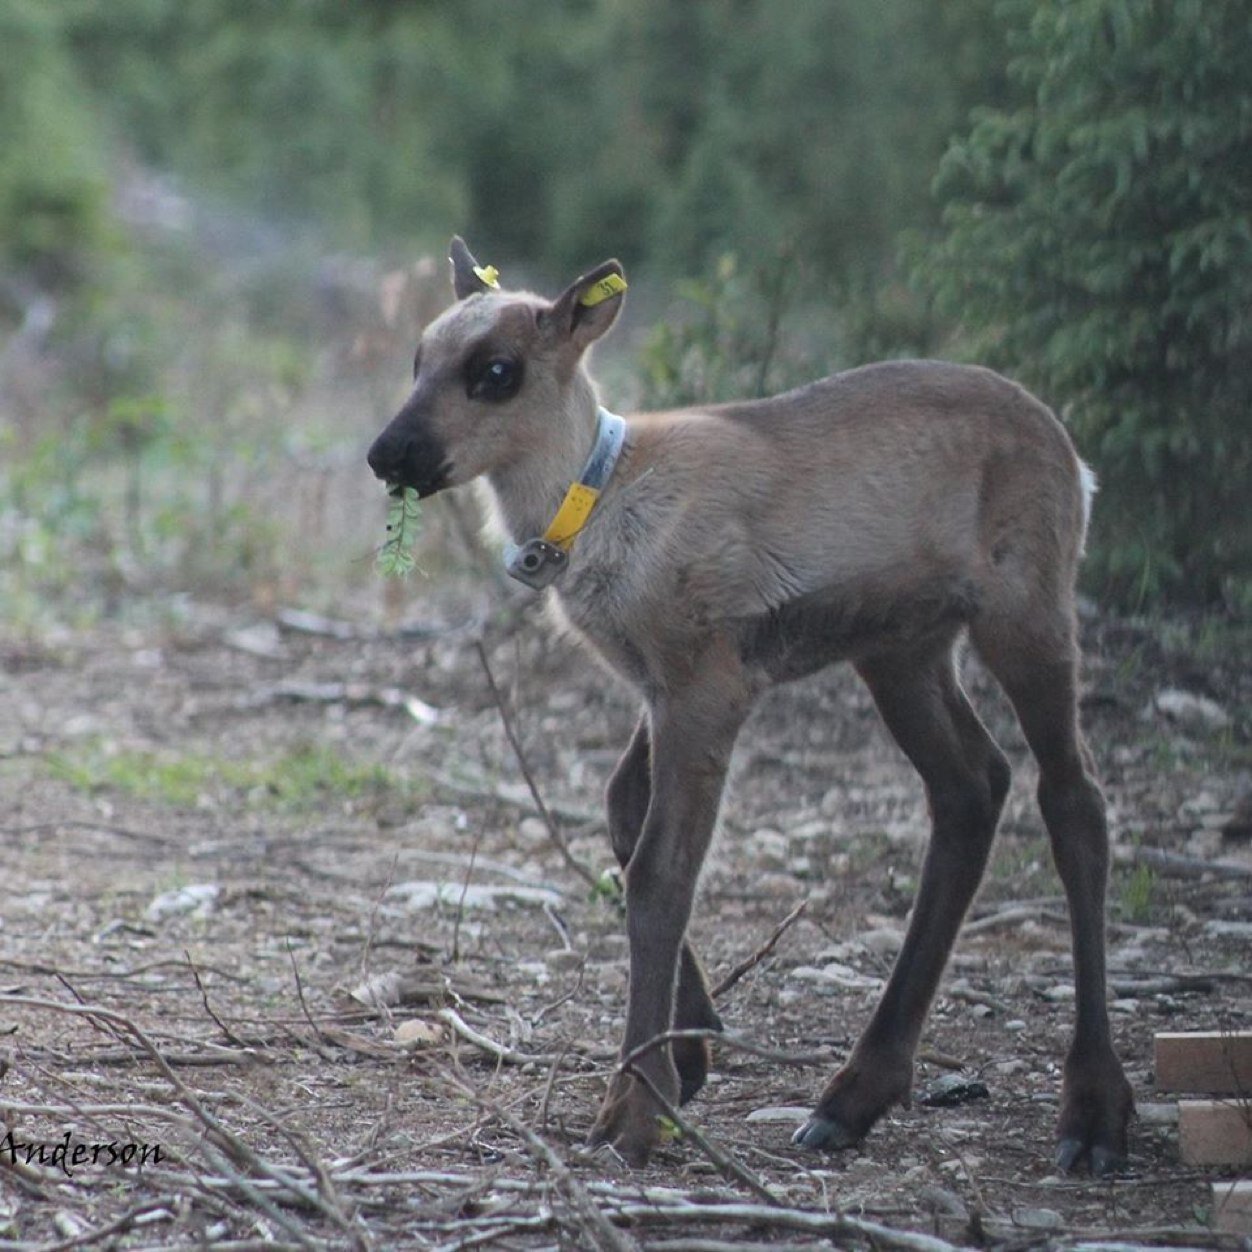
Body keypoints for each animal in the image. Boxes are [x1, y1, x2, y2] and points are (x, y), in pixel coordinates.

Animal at [365, 236, 1136, 1171]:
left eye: (496, 371)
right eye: (418, 358)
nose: (388, 454)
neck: (597, 508)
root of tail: (1077, 459)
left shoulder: (707, 683)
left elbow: (662, 871)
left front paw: (638, 1104)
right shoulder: (661, 685)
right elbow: (623, 814)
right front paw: (691, 1051)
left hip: (1025, 613)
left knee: (1073, 798)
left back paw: (1092, 1110)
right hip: (903, 649)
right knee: (972, 787)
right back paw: (855, 1094)